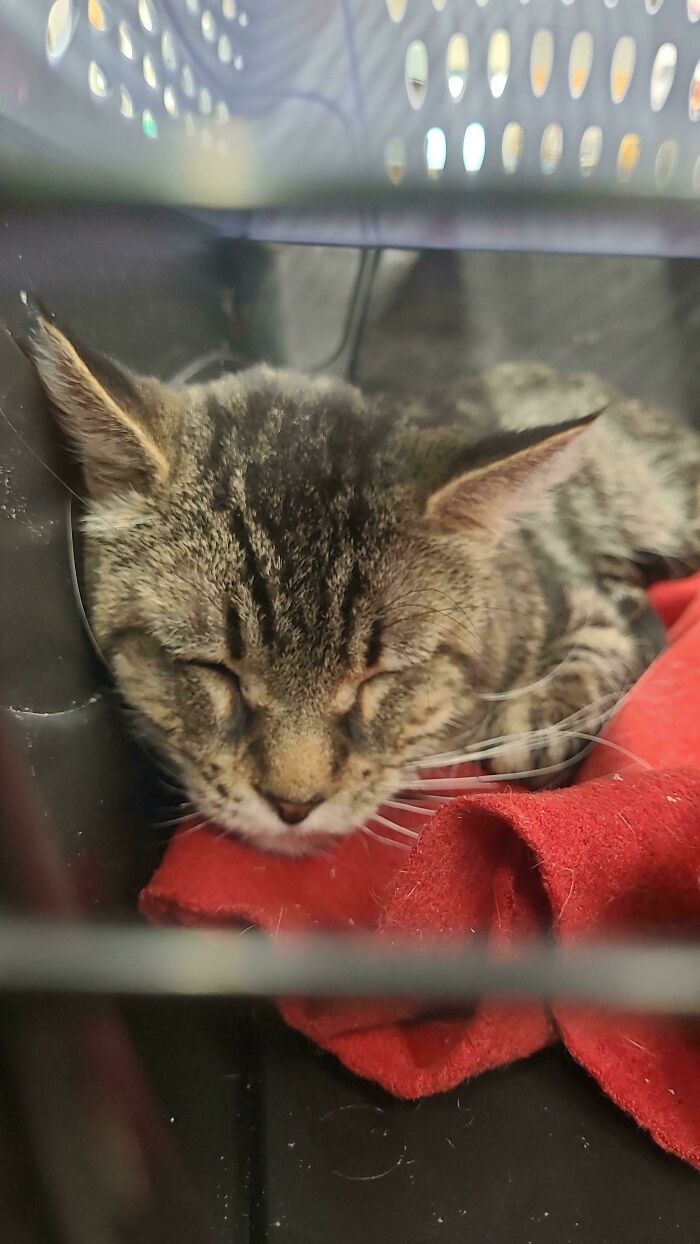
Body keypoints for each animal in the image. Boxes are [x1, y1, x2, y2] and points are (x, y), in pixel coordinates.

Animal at [25, 311, 700, 855]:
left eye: (382, 676)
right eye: (213, 669)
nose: (293, 805)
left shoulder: (578, 586)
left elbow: (603, 640)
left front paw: (538, 719)